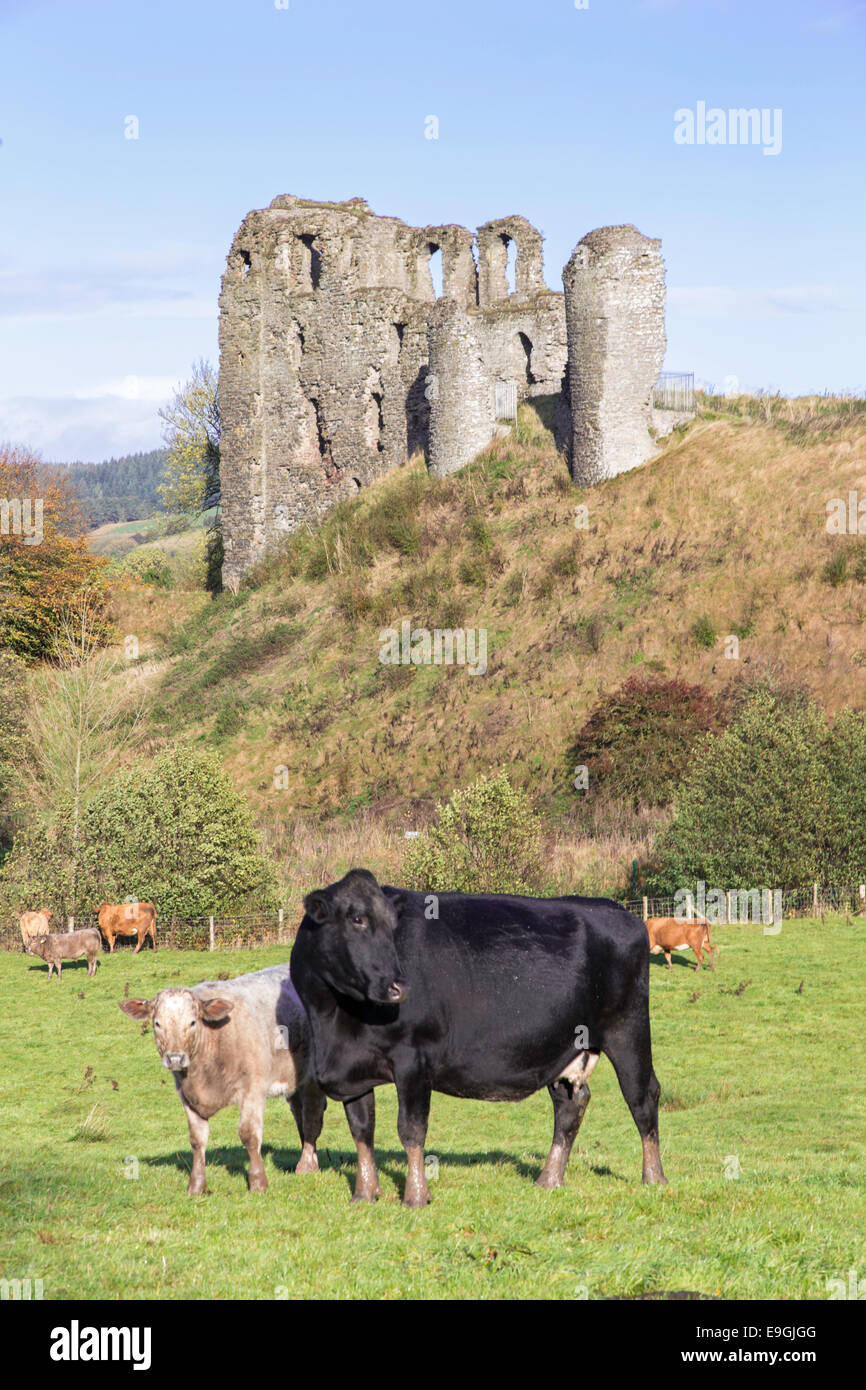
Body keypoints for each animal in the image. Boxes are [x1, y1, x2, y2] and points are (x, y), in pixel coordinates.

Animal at [287, 867, 667, 1206]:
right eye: (357, 919)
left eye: (393, 926)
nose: (399, 987)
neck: (334, 1022)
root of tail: (617, 910)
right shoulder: (354, 1067)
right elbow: (362, 1129)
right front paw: (364, 1193)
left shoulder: (414, 1058)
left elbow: (411, 1130)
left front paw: (416, 1196)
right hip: (570, 1044)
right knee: (570, 1104)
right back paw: (549, 1178)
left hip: (628, 1030)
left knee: (643, 1097)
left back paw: (653, 1176)